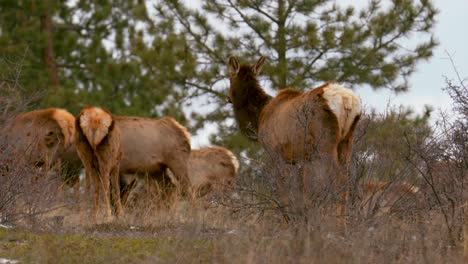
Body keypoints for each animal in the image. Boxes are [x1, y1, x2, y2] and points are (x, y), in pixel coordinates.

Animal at [227, 56, 362, 221]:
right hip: (346, 141)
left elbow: (283, 189)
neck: (258, 119)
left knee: (336, 178)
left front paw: (289, 219)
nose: (228, 97)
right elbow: (304, 190)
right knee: (346, 178)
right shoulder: (304, 158)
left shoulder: (274, 153)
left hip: (326, 142)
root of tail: (347, 99)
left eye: (230, 78)